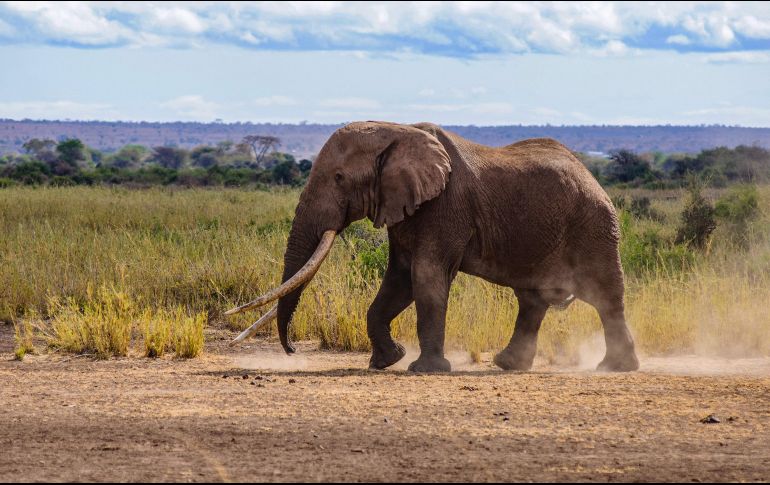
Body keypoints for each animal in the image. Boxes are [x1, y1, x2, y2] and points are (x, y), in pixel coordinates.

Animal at [226, 121, 640, 373]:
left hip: (594, 227)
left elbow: (425, 278)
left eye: (340, 178)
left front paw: (423, 370)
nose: (292, 351)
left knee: (605, 296)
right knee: (532, 300)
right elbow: (398, 281)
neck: (395, 131)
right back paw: (509, 365)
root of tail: (592, 176)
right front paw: (386, 361)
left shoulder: (444, 207)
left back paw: (615, 368)